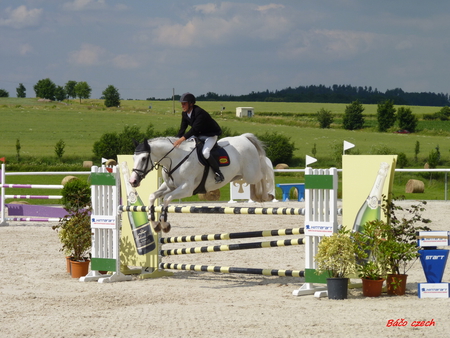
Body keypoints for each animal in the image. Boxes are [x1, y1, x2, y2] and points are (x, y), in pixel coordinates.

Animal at [129, 133, 274, 234]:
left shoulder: (186, 189)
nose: (133, 181)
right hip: (239, 177)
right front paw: (155, 224)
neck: (175, 159)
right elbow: (152, 196)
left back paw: (265, 196)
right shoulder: (170, 186)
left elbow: (166, 199)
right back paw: (257, 196)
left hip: (251, 174)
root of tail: (244, 138)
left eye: (143, 158)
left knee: (263, 174)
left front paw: (165, 225)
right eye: (133, 158)